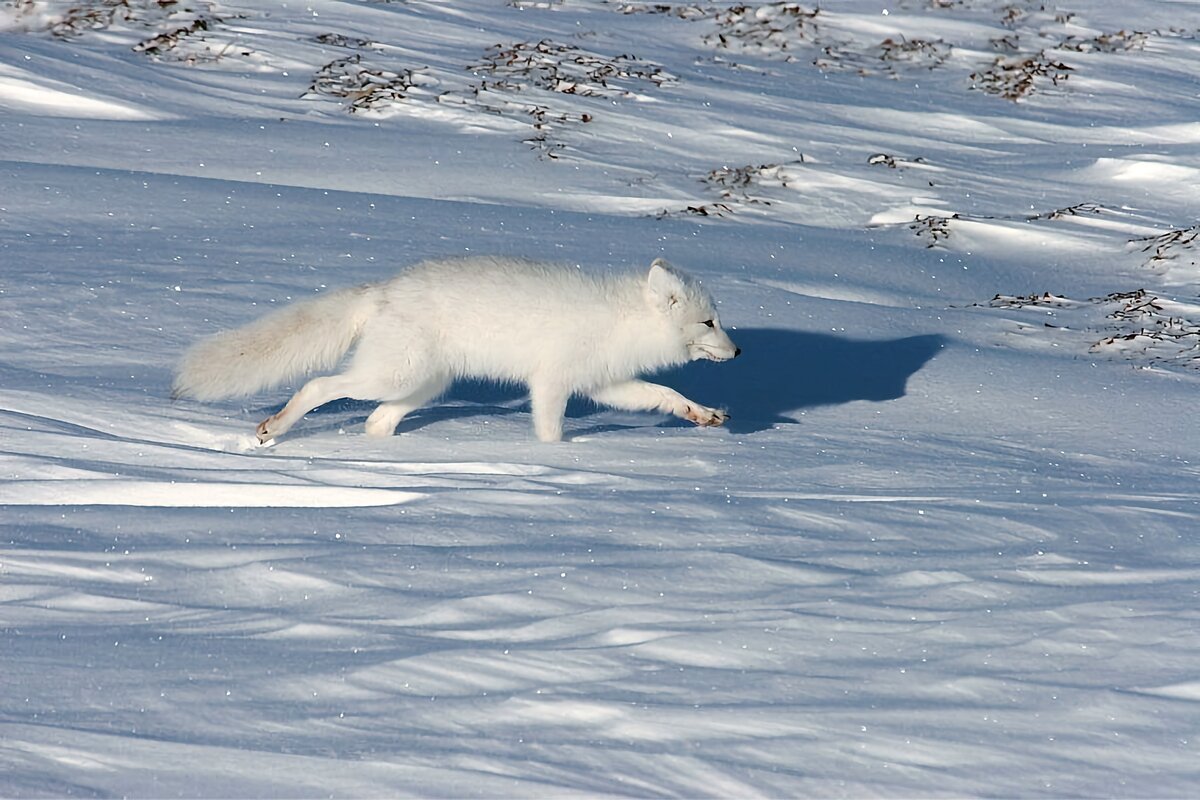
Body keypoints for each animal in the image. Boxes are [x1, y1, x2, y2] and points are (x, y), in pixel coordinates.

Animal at [175, 256, 739, 443]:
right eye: (709, 322)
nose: (737, 355)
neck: (621, 322)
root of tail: (384, 289)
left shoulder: (604, 382)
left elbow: (663, 394)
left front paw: (703, 414)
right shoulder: (552, 382)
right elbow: (550, 431)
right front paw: (555, 463)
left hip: (425, 383)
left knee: (376, 421)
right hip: (395, 374)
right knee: (320, 386)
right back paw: (274, 429)